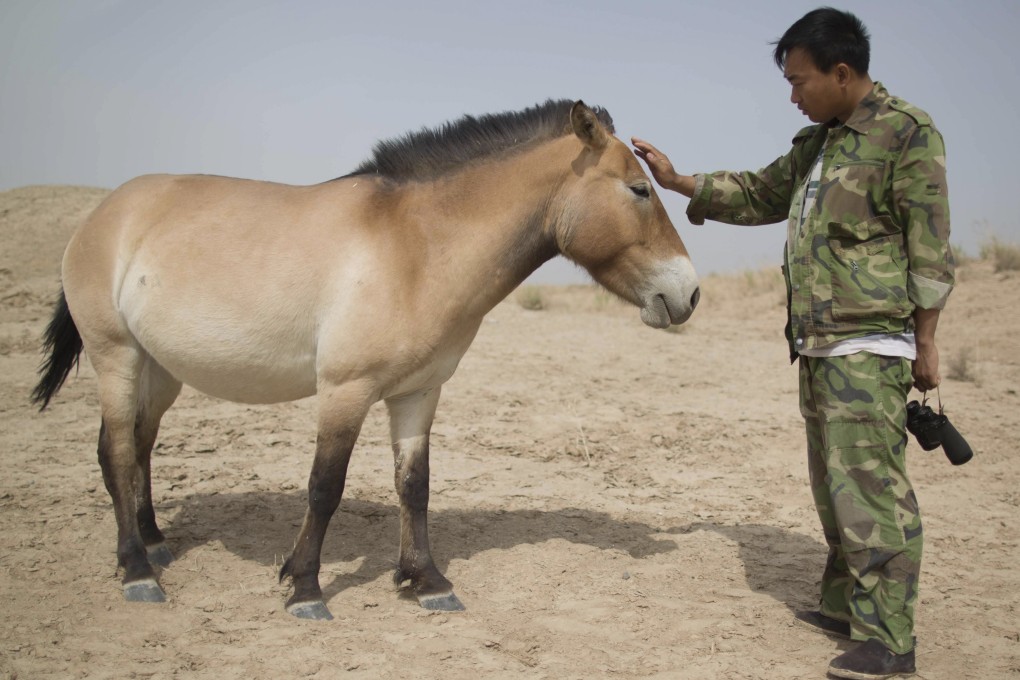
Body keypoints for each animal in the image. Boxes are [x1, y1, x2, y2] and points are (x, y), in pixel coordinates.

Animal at [32, 99, 700, 620]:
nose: (688, 293)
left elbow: (415, 485)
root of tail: (106, 213)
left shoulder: (418, 392)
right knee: (118, 452)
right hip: (117, 356)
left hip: (161, 368)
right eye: (639, 189)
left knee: (138, 446)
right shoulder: (345, 390)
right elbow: (325, 486)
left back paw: (153, 544)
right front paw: (304, 586)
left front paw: (426, 581)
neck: (415, 246)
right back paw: (138, 573)